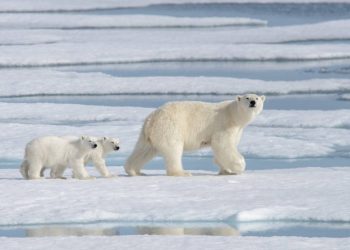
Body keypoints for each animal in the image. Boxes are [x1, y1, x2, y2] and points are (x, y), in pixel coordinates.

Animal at [126, 93, 266, 177]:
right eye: (247, 98)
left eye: (257, 98)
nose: (253, 102)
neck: (233, 114)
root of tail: (152, 118)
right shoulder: (224, 125)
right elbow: (223, 144)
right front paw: (238, 167)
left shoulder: (237, 130)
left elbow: (223, 148)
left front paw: (225, 170)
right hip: (170, 128)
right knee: (173, 150)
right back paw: (182, 172)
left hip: (149, 134)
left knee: (144, 150)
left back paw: (134, 171)